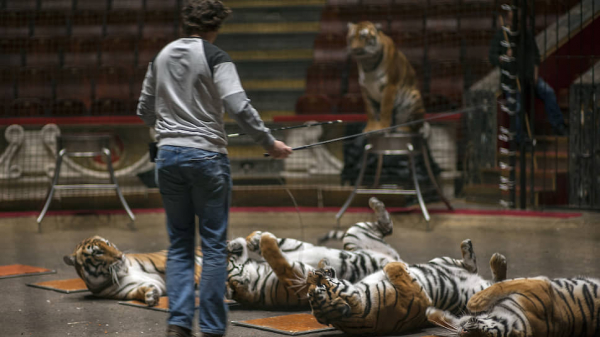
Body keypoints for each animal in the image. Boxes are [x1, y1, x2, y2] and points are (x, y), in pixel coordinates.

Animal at [64, 235, 202, 306]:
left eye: (107, 243)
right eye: (98, 252)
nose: (120, 256)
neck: (124, 271)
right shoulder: (132, 289)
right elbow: (142, 290)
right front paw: (151, 295)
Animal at [304, 238, 506, 334]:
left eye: (314, 289)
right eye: (321, 287)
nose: (312, 274)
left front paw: (322, 263)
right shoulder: (416, 296)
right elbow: (396, 270)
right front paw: (394, 264)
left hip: (441, 260)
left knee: (469, 265)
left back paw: (479, 251)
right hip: (474, 292)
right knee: (496, 282)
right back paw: (498, 261)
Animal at [426, 274, 600, 334]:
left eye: (485, 335)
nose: (463, 332)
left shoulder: (539, 285)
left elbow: (502, 284)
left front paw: (475, 301)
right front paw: (433, 314)